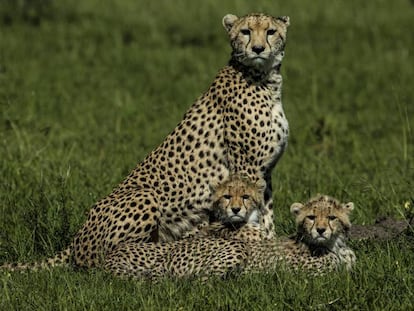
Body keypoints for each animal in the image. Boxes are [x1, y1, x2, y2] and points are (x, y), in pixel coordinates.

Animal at [1, 12, 290, 270]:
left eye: (270, 31)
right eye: (246, 31)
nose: (258, 48)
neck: (265, 80)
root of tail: (75, 241)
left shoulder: (265, 171)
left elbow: (266, 213)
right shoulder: (247, 168)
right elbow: (254, 215)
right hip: (145, 196)